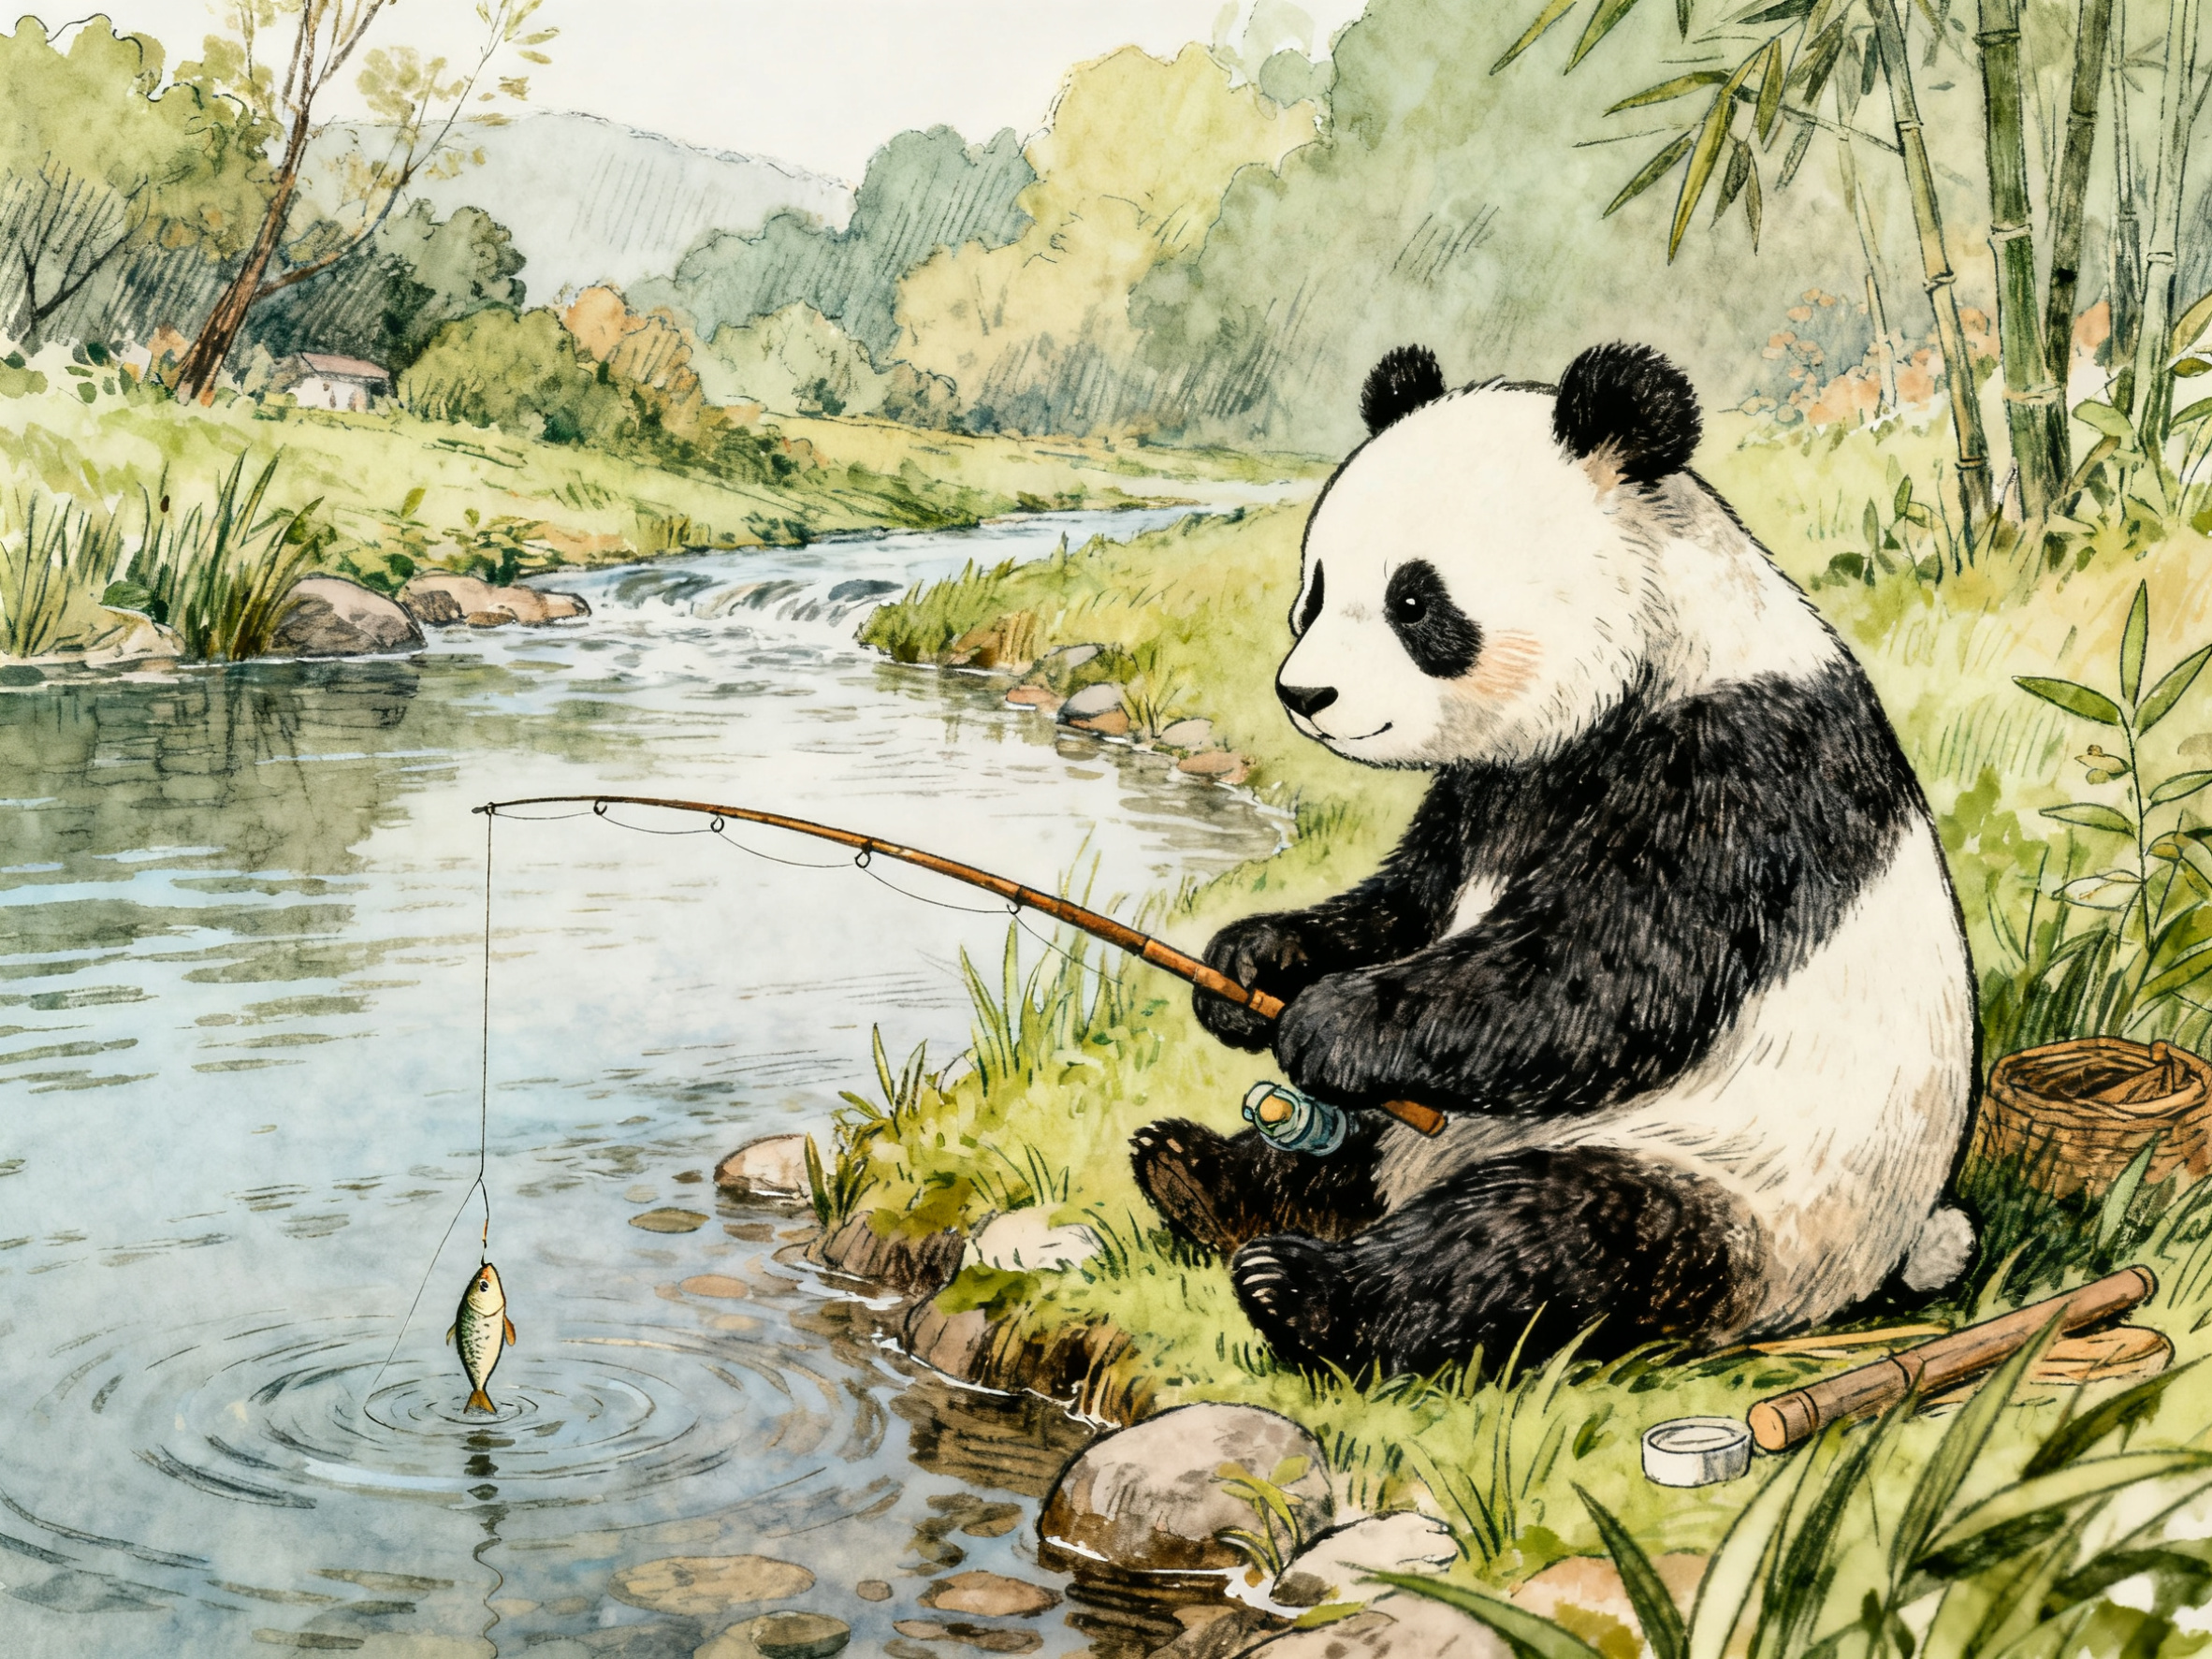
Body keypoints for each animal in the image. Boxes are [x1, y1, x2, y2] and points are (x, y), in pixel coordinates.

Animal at [1131, 342, 1977, 1379]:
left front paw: (1329, 1026)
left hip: (1744, 1197)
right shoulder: (1484, 795)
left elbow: (1604, 980)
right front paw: (1248, 967)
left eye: (1415, 602)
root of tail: (1896, 1260)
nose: (1305, 694)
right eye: (1318, 589)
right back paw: (1199, 1171)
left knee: (1546, 1232)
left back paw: (1302, 1289)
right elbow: (1409, 902)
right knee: (1353, 1157)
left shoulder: (1741, 774)